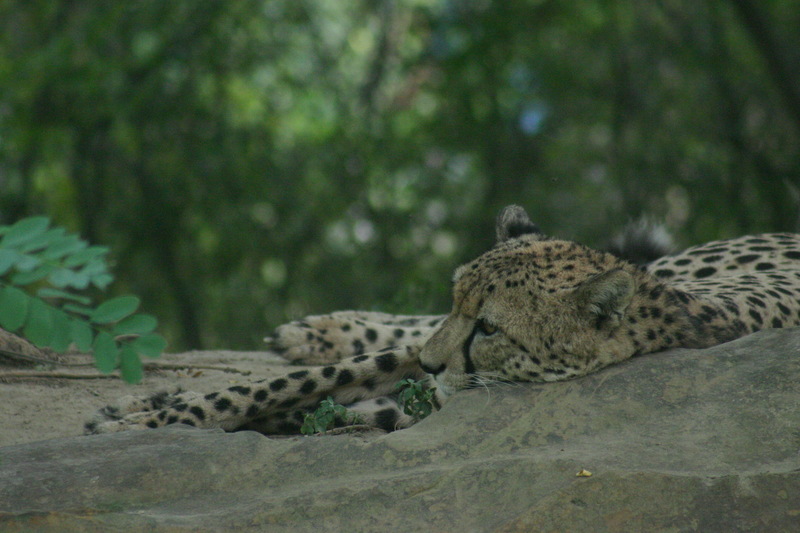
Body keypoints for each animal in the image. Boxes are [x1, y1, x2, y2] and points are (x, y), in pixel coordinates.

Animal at [84, 205, 800, 435]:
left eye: (490, 329)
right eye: (460, 303)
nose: (433, 364)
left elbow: (331, 406)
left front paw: (155, 414)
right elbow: (274, 387)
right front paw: (148, 416)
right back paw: (316, 332)